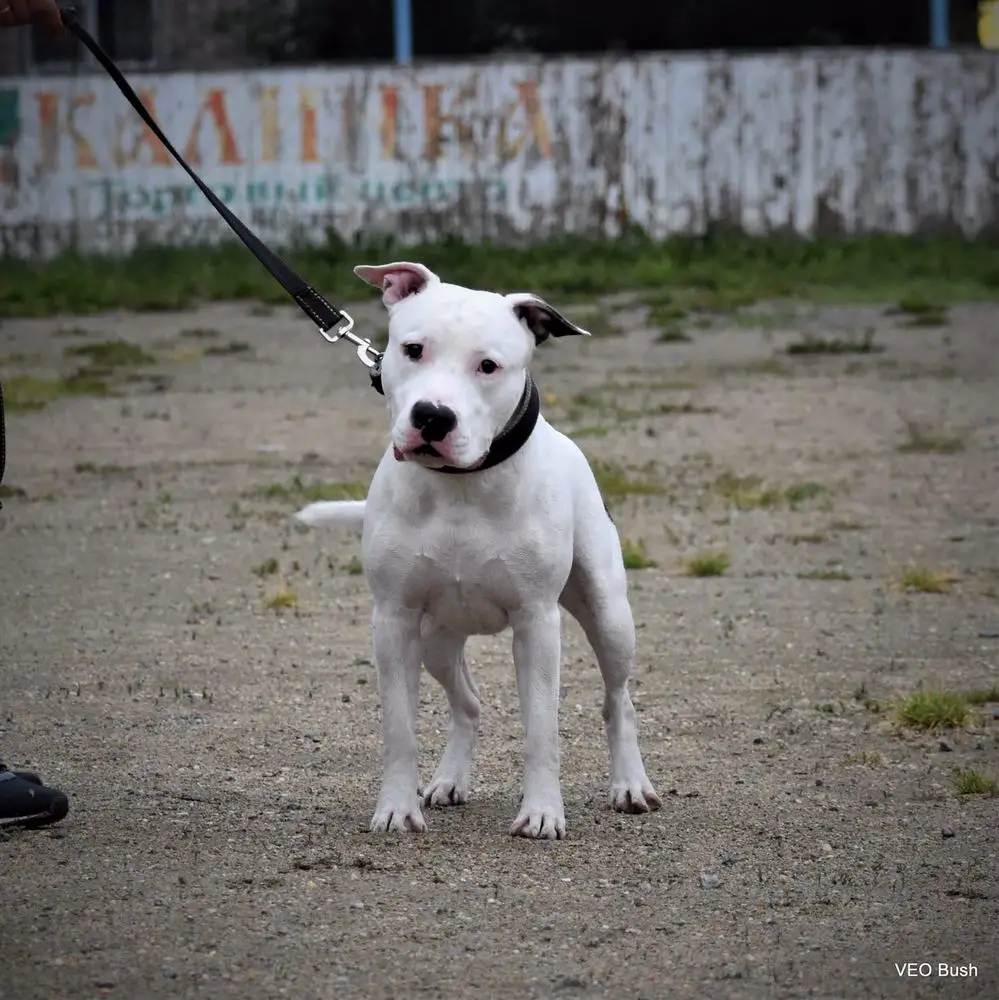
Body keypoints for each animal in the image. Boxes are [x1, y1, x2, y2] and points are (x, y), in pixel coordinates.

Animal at [296, 262, 664, 840]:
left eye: (488, 366)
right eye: (413, 349)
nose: (432, 416)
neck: (460, 485)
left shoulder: (536, 623)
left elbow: (542, 729)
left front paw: (542, 812)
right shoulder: (394, 621)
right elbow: (399, 729)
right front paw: (396, 808)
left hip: (609, 616)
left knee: (618, 701)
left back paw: (629, 785)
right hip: (436, 640)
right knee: (468, 704)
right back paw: (449, 781)